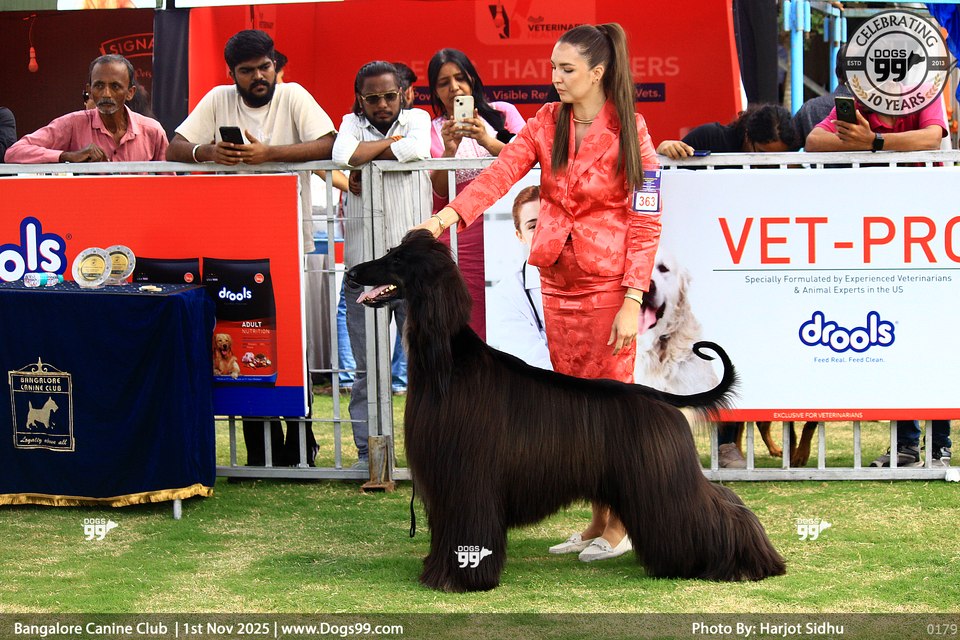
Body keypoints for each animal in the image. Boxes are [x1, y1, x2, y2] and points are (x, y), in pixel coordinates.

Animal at [347, 230, 786, 592]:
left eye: (397, 259)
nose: (351, 272)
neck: (448, 363)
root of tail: (659, 397)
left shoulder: (467, 477)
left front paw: (461, 580)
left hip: (662, 476)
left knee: (713, 505)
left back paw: (750, 562)